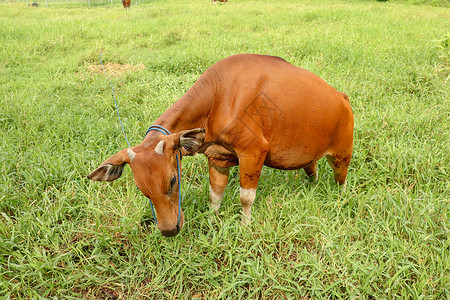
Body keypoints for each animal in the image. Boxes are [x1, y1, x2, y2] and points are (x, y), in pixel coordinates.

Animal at [89, 53, 356, 237]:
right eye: (141, 188)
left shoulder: (253, 152)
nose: (169, 230)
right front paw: (212, 220)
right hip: (310, 157)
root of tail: (341, 97)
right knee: (313, 170)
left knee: (341, 179)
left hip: (342, 153)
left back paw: (341, 200)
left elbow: (246, 198)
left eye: (173, 180)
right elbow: (214, 195)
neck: (217, 98)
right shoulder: (218, 157)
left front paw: (245, 227)